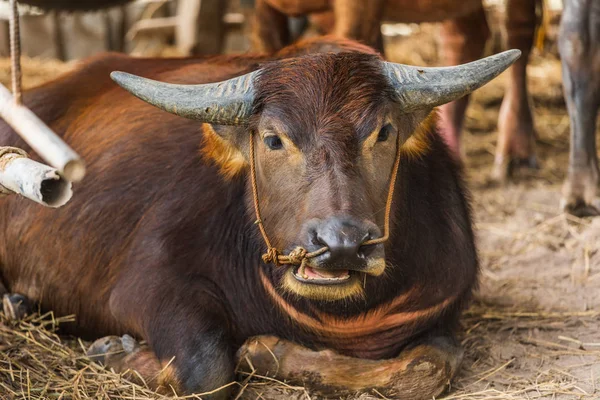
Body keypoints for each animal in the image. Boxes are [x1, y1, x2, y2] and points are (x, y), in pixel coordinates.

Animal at [0, 36, 516, 396]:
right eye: (273, 139)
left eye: (384, 132)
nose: (341, 244)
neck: (335, 317)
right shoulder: (146, 283)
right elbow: (205, 369)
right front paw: (111, 350)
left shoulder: (442, 307)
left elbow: (424, 369)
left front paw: (267, 350)